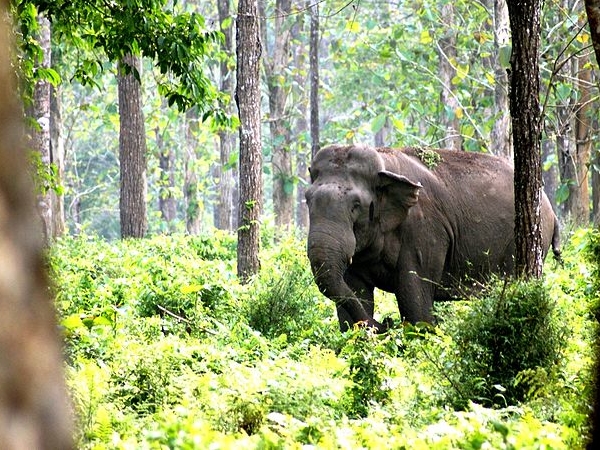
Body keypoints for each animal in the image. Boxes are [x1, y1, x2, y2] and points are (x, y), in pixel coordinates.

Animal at [304, 145, 564, 334]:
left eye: (356, 206)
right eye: (307, 199)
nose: (384, 324)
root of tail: (550, 207)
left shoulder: (424, 230)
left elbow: (414, 298)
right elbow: (353, 292)